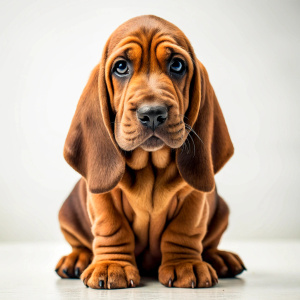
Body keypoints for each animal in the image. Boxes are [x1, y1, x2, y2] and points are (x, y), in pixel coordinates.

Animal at [55, 15, 245, 290]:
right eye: (121, 67)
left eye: (177, 65)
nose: (153, 113)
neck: (150, 165)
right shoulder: (103, 198)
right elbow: (112, 227)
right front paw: (111, 265)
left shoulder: (194, 197)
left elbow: (184, 230)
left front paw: (185, 264)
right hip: (68, 213)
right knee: (80, 243)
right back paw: (76, 258)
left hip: (221, 211)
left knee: (208, 243)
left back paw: (220, 257)